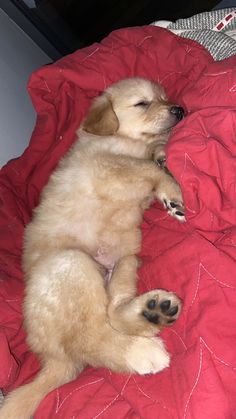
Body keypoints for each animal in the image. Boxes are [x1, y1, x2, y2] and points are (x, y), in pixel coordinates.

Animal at [0, 77, 184, 418]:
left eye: (165, 98)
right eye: (142, 103)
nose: (179, 110)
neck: (120, 139)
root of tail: (55, 360)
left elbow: (153, 157)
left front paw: (162, 156)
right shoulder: (109, 168)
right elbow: (147, 169)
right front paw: (172, 192)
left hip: (124, 261)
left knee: (114, 313)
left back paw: (154, 311)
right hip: (72, 265)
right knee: (93, 338)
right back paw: (142, 351)